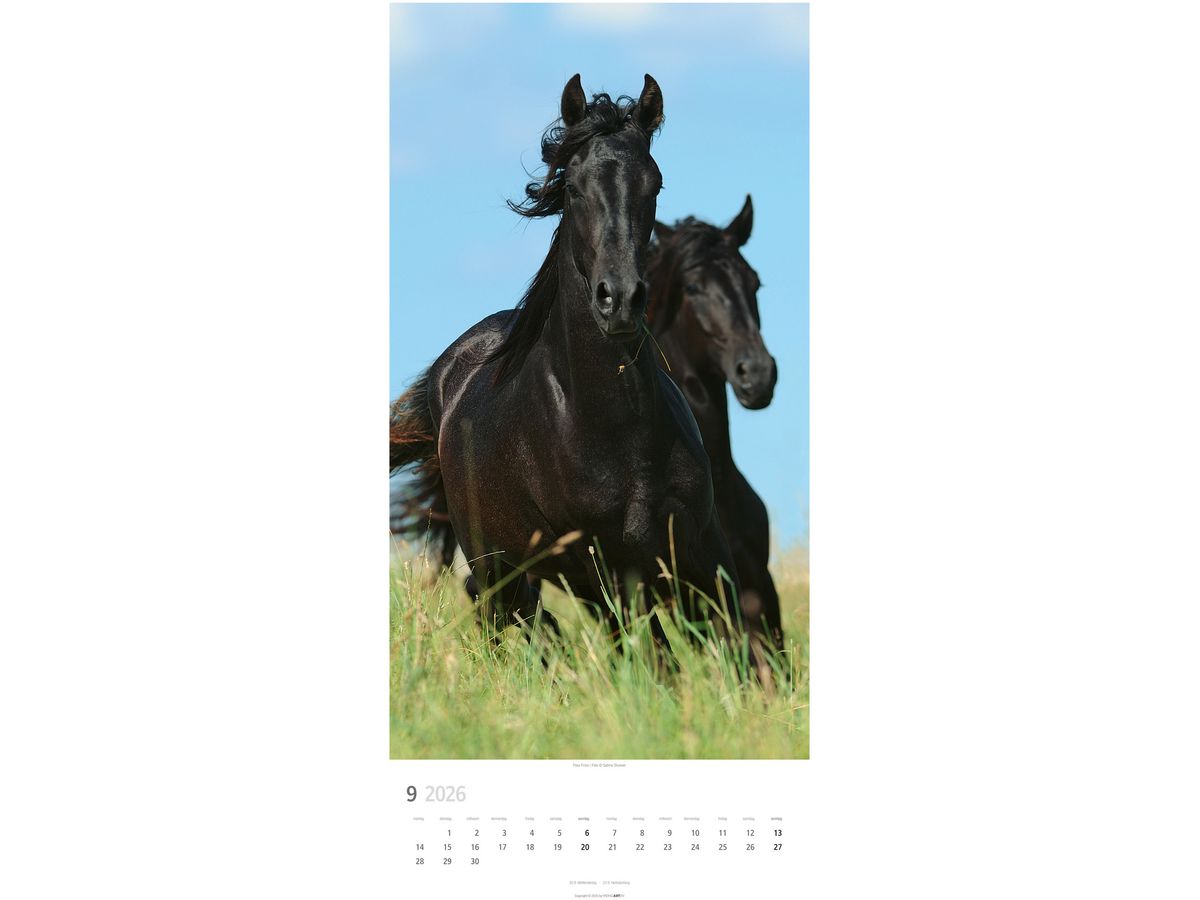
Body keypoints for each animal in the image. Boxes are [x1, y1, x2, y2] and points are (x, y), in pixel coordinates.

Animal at [391, 75, 769, 674]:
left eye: (654, 184)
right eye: (572, 188)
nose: (620, 299)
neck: (616, 431)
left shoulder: (704, 556)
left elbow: (738, 654)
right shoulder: (607, 568)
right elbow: (653, 662)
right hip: (501, 569)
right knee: (506, 622)